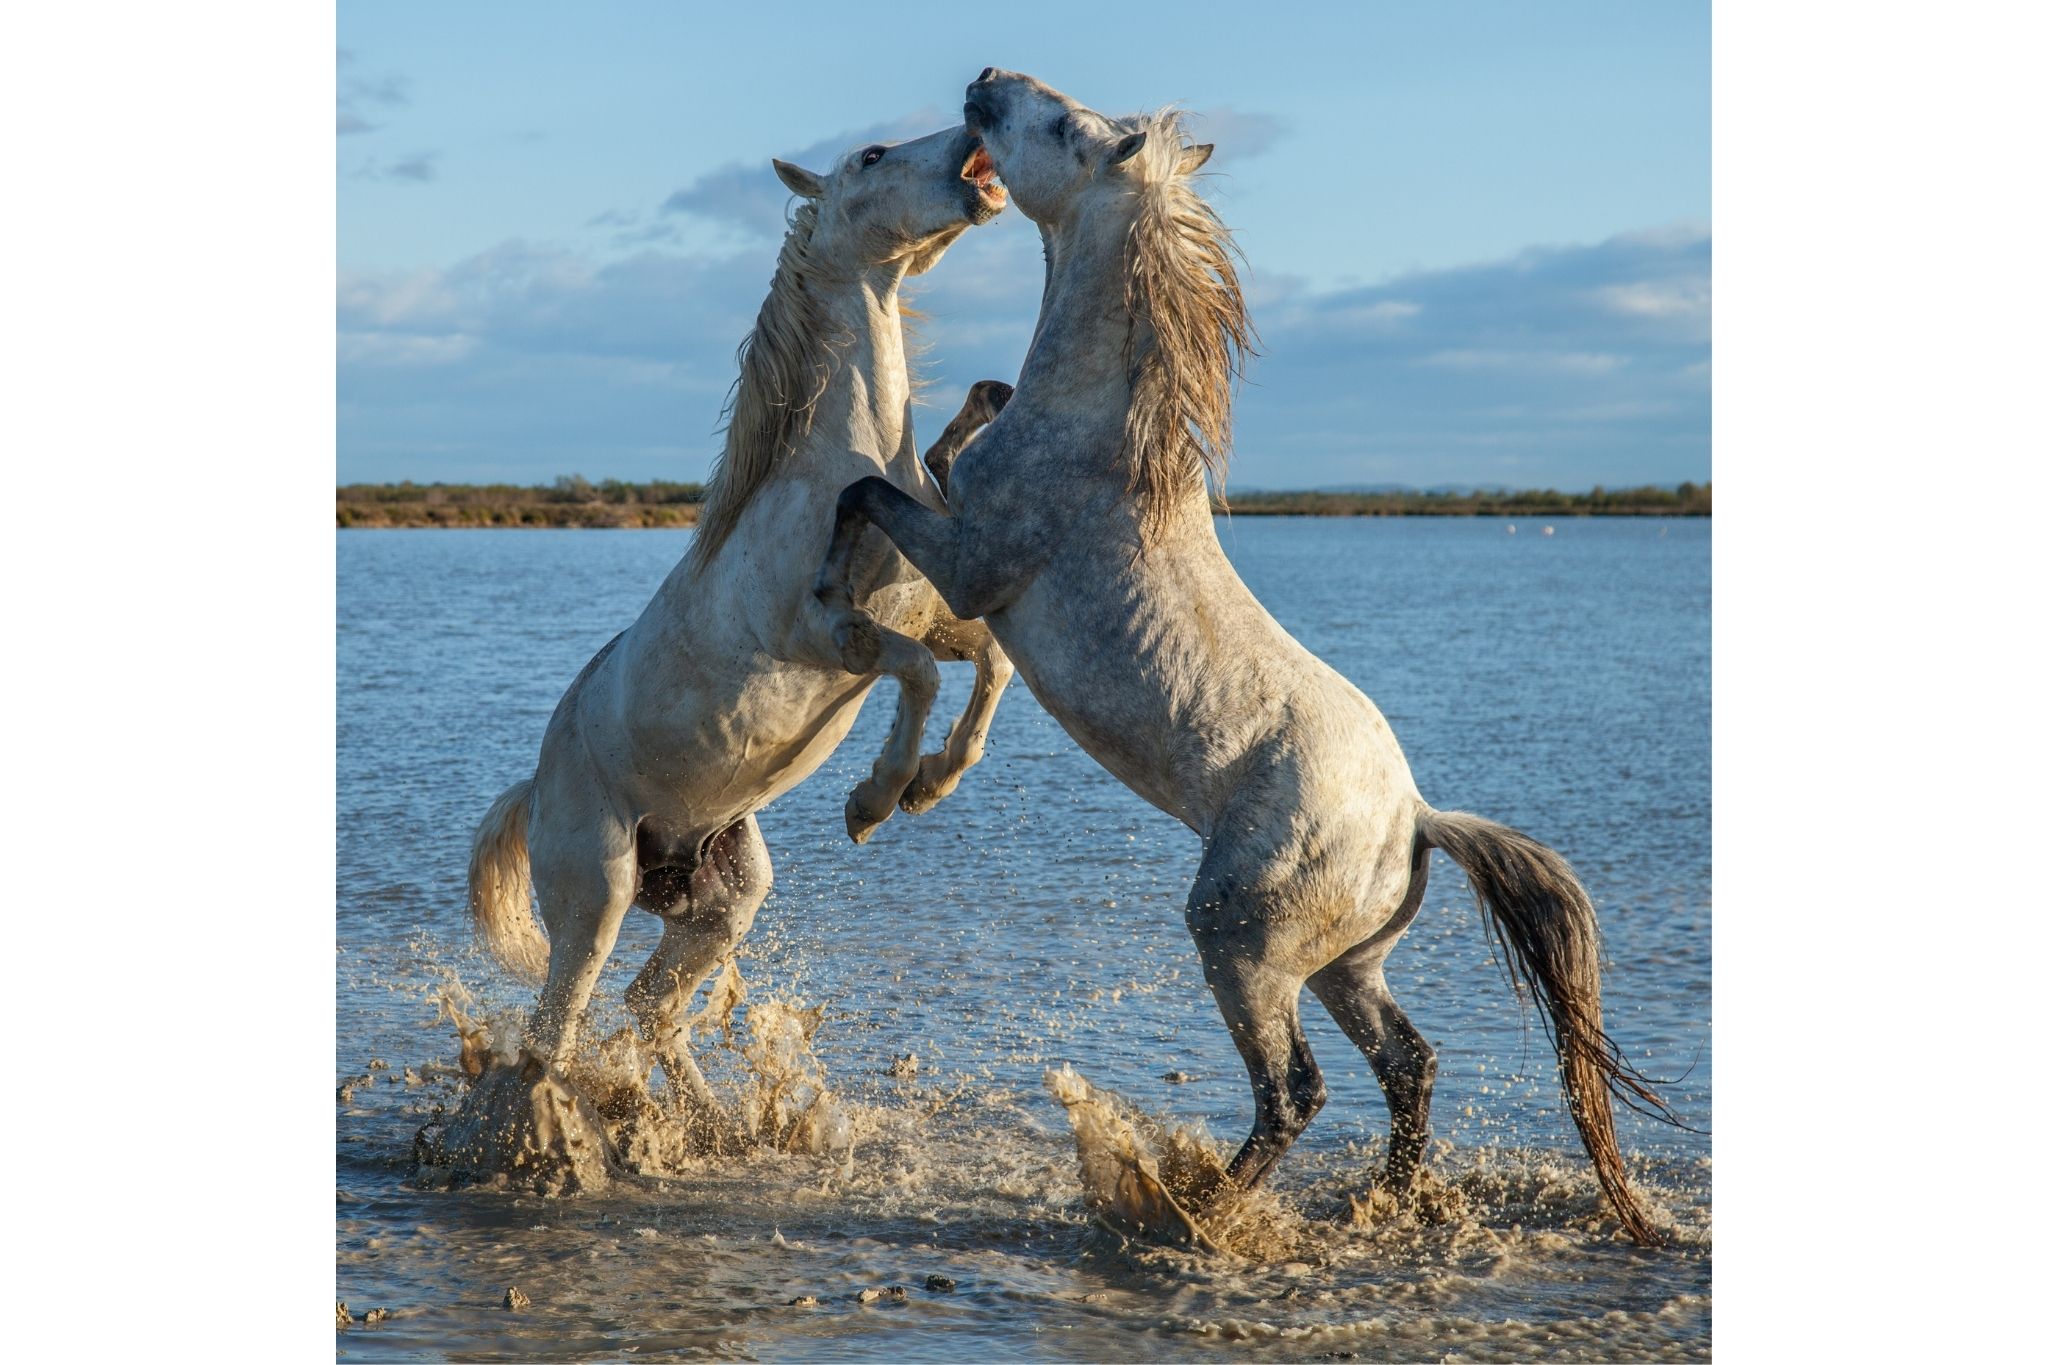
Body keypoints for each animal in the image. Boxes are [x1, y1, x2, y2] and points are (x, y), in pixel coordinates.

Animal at [465, 123, 1017, 1147]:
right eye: (873, 155)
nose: (973, 136)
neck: (849, 469)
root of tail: (538, 784)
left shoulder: (926, 612)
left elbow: (985, 664)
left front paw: (932, 784)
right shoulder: (830, 634)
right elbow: (918, 674)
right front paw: (875, 798)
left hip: (722, 898)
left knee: (650, 1006)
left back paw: (715, 1124)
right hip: (596, 895)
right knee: (557, 1028)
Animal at [814, 72, 1674, 1245]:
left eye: (1059, 126)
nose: (985, 82)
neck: (1097, 436)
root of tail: (1416, 819)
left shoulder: (970, 566)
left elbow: (871, 488)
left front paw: (832, 615)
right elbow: (955, 431)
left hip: (1238, 938)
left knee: (1296, 1090)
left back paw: (1189, 1207)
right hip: (1344, 965)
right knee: (1409, 1063)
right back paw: (1380, 1200)